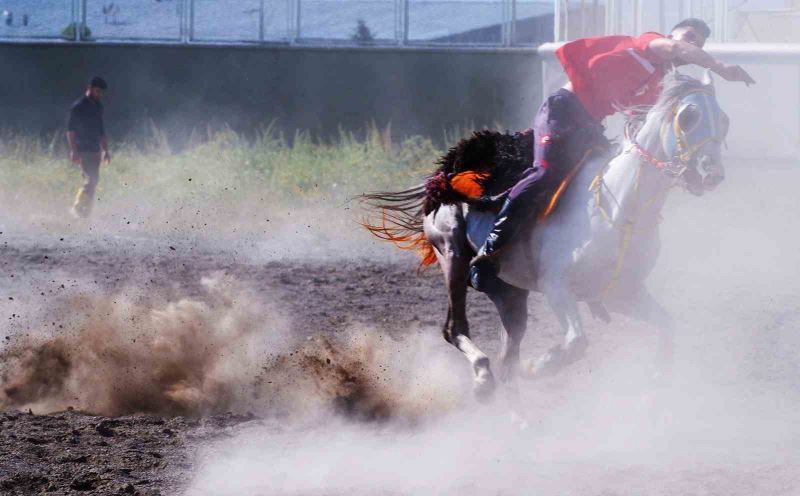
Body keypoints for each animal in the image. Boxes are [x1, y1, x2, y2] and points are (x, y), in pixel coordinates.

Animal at [366, 72, 728, 400]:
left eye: (723, 121)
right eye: (689, 116)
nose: (710, 173)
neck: (619, 204)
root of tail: (442, 177)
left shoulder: (621, 293)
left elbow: (666, 325)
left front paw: (658, 380)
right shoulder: (557, 287)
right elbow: (577, 342)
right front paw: (537, 367)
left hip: (509, 293)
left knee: (507, 357)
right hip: (452, 255)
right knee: (455, 330)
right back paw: (483, 378)